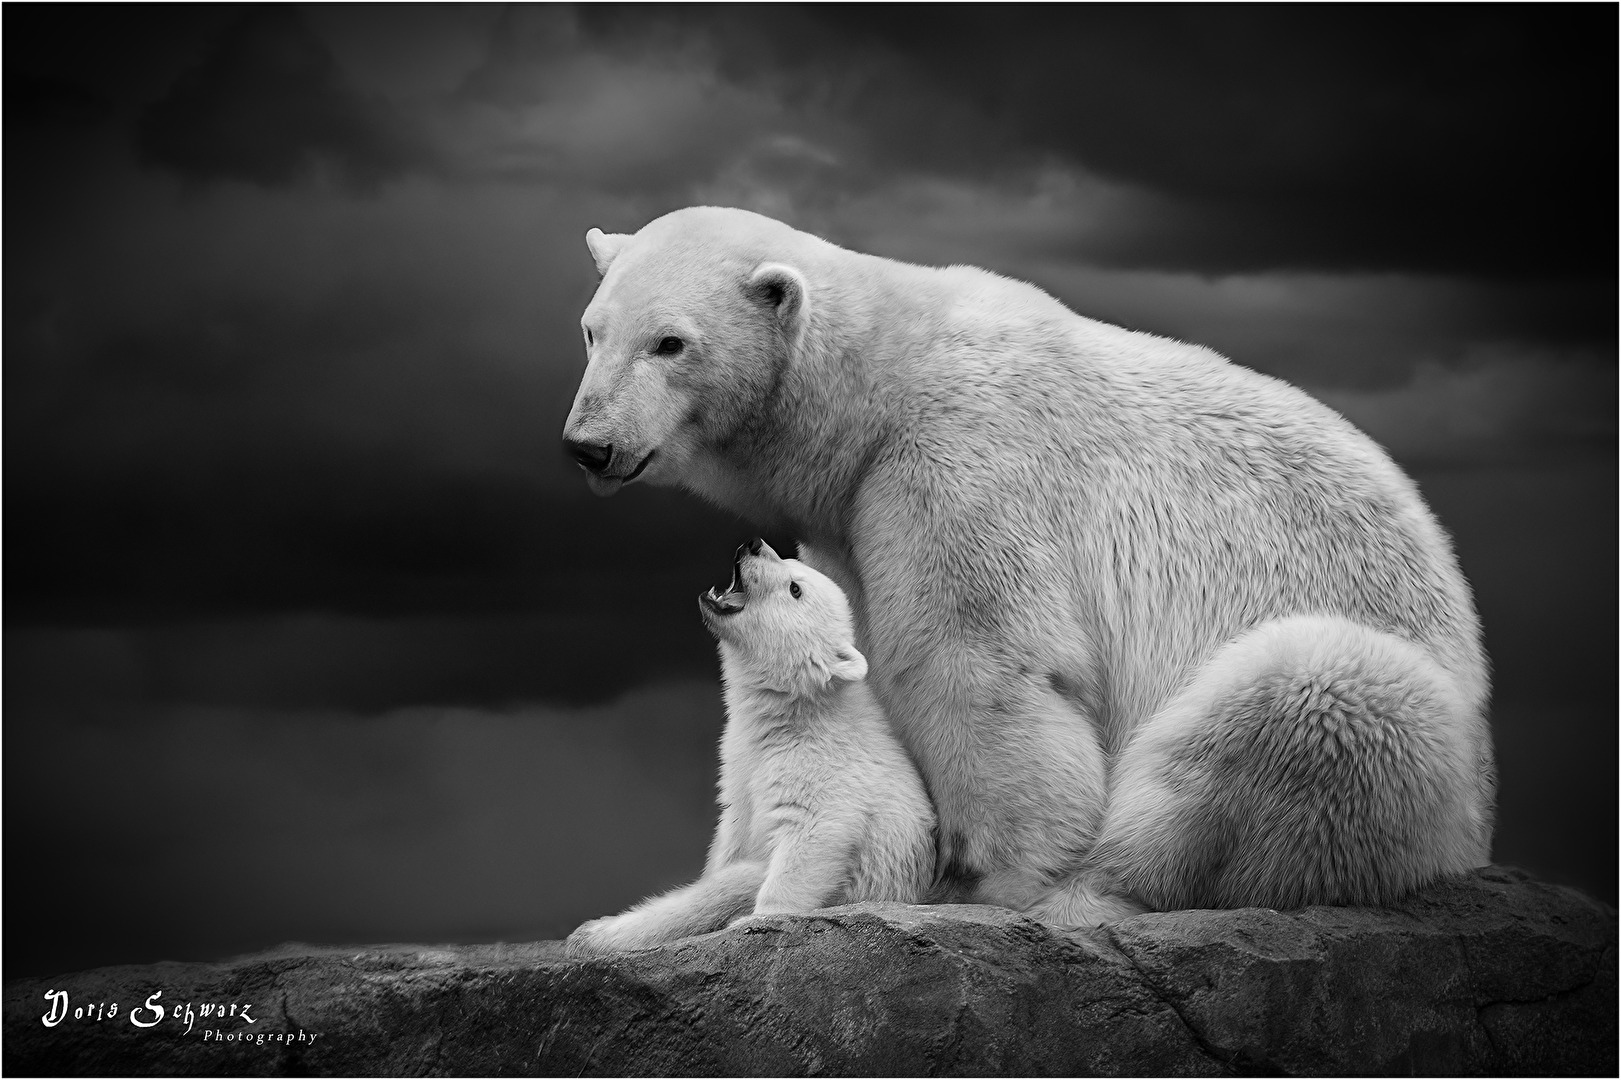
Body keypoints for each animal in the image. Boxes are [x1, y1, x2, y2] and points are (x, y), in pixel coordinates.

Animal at [560, 204, 1491, 927]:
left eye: (671, 342)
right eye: (591, 330)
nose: (588, 444)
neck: (879, 385)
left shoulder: (960, 457)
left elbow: (979, 662)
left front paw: (992, 883)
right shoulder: (851, 518)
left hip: (1385, 732)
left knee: (1298, 694)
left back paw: (1088, 892)